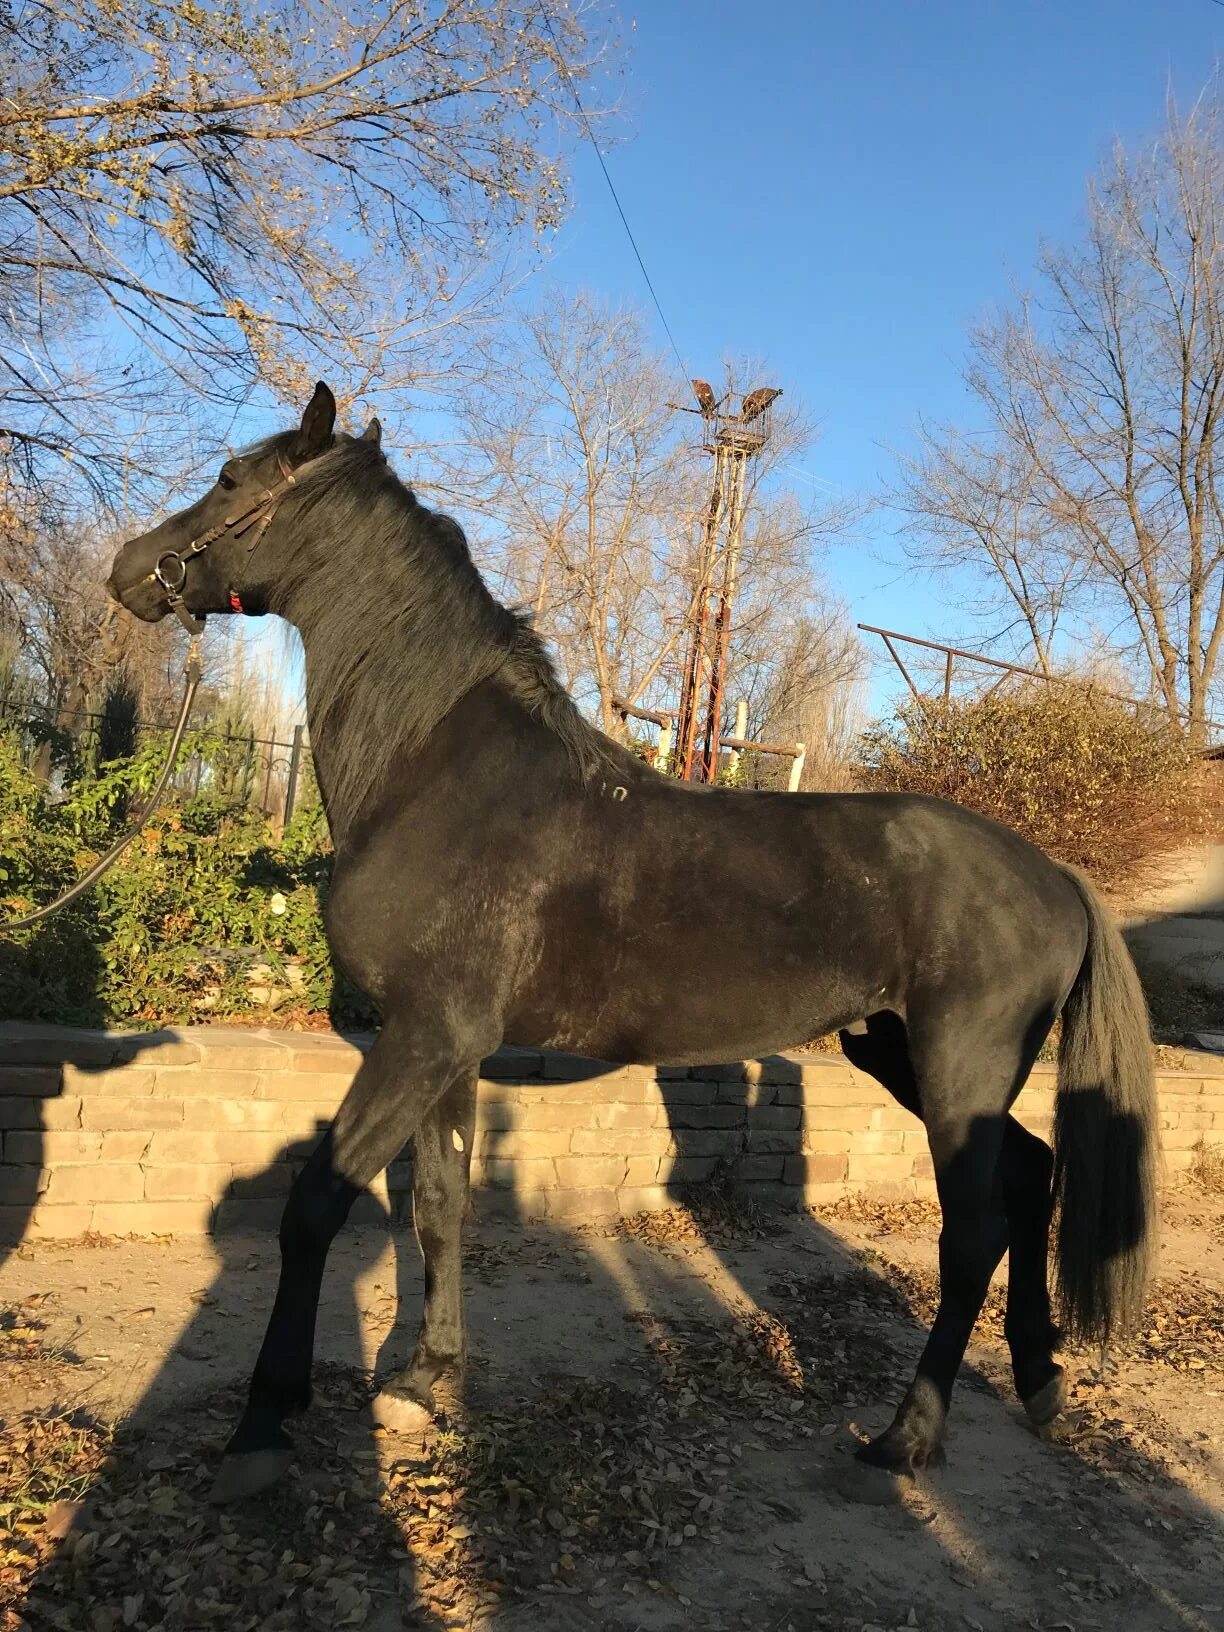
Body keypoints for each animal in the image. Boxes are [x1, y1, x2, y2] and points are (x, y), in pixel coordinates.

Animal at [105, 385, 1161, 1501]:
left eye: (231, 480)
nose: (130, 568)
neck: (438, 774)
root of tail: (1057, 875)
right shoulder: (440, 1045)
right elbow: (438, 1200)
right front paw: (426, 1380)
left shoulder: (423, 1037)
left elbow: (317, 1206)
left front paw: (266, 1424)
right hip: (905, 1053)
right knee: (1035, 1176)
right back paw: (1040, 1380)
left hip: (961, 1072)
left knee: (974, 1234)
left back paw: (905, 1440)